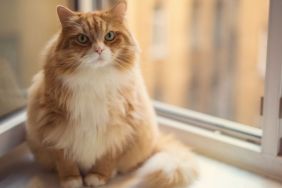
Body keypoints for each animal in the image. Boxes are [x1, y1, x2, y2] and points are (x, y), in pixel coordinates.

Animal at [26, 1, 198, 188]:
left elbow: (107, 158)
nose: (99, 50)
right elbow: (64, 159)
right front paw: (71, 179)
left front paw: (98, 176)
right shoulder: (54, 125)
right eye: (82, 39)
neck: (95, 79)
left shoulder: (121, 128)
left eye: (109, 36)